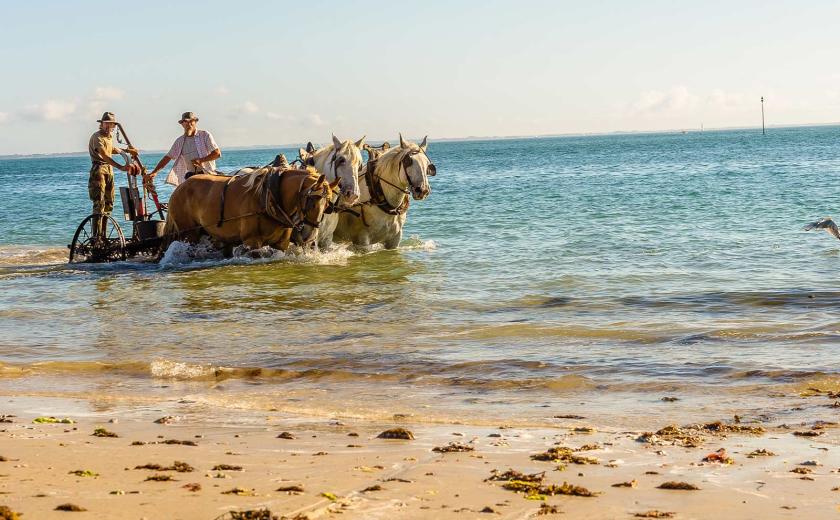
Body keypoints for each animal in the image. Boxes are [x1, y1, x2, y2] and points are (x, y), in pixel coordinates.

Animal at [162, 168, 336, 255]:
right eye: (312, 200)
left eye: (328, 204)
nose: (310, 235)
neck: (269, 197)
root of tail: (180, 187)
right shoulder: (252, 242)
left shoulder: (281, 244)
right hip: (189, 233)